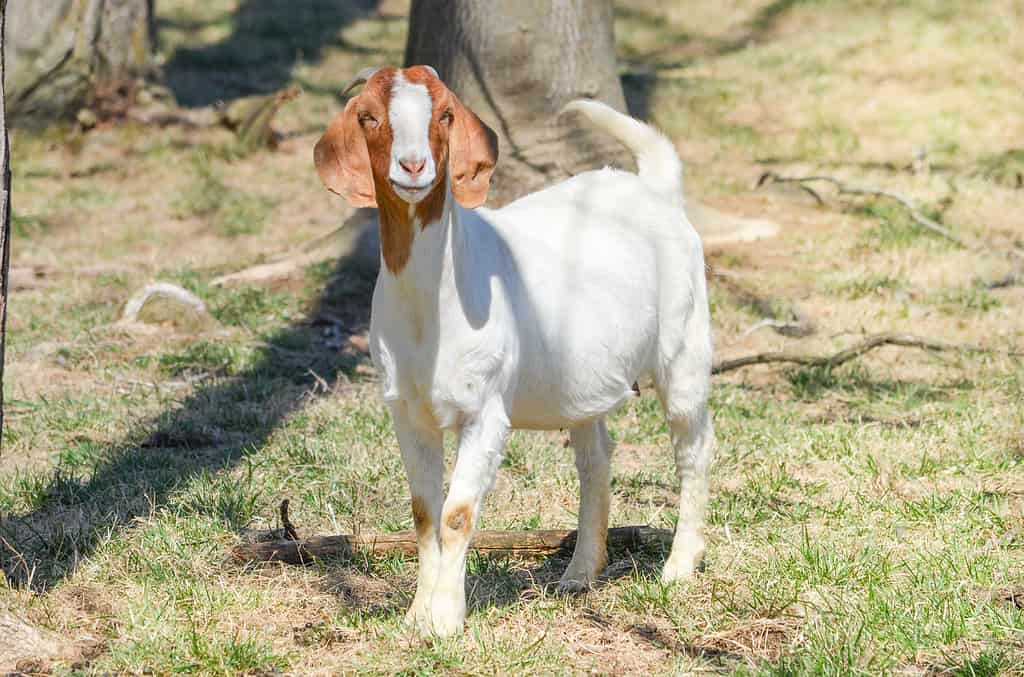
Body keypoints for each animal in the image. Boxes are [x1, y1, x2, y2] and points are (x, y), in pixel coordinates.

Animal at [311, 66, 712, 635]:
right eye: (368, 116)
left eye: (445, 115)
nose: (413, 166)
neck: (431, 304)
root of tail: (655, 188)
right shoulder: (407, 412)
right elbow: (424, 513)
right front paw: (416, 615)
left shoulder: (485, 410)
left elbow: (457, 514)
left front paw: (446, 620)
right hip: (580, 380)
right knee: (595, 458)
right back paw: (579, 573)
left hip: (684, 347)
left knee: (693, 446)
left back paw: (679, 566)